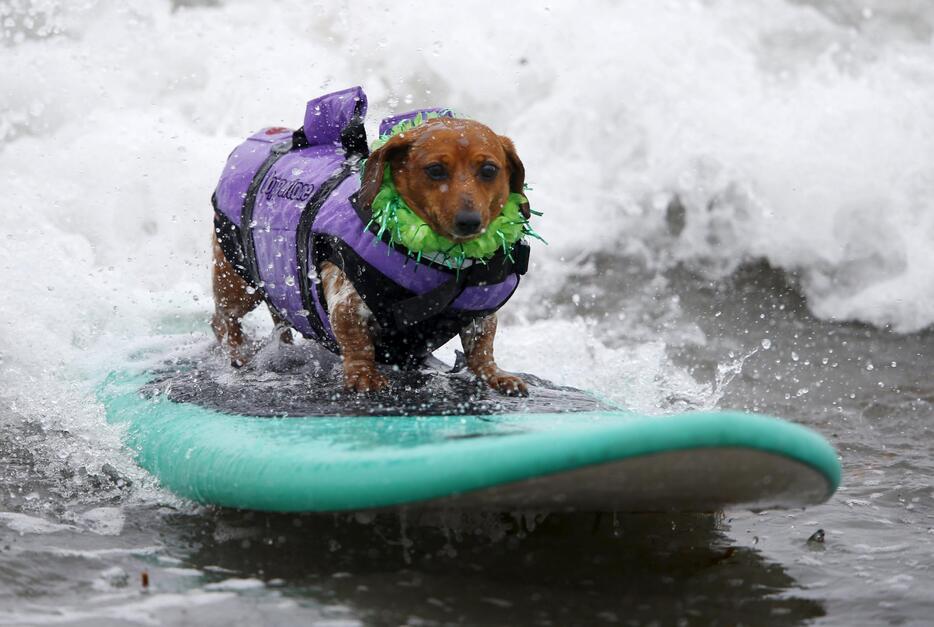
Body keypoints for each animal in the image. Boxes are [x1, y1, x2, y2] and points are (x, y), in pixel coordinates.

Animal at [214, 118, 528, 398]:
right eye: (436, 170)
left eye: (489, 169)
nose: (470, 222)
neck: (443, 263)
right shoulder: (347, 302)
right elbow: (357, 342)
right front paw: (363, 375)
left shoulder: (480, 314)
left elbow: (481, 347)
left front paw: (494, 374)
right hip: (237, 284)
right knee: (223, 321)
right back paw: (238, 352)